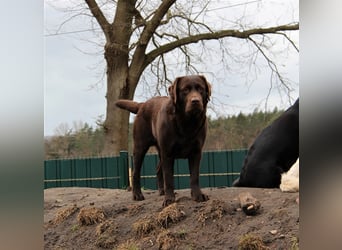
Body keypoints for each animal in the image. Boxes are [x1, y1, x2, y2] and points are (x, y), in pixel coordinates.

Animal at [115, 74, 211, 207]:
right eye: (185, 90)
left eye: (200, 89)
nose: (195, 101)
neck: (187, 122)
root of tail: (142, 105)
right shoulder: (168, 153)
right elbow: (169, 177)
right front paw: (169, 199)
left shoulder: (196, 152)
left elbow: (194, 176)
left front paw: (198, 195)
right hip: (140, 146)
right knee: (136, 172)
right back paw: (137, 195)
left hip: (160, 150)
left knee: (158, 169)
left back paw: (161, 191)